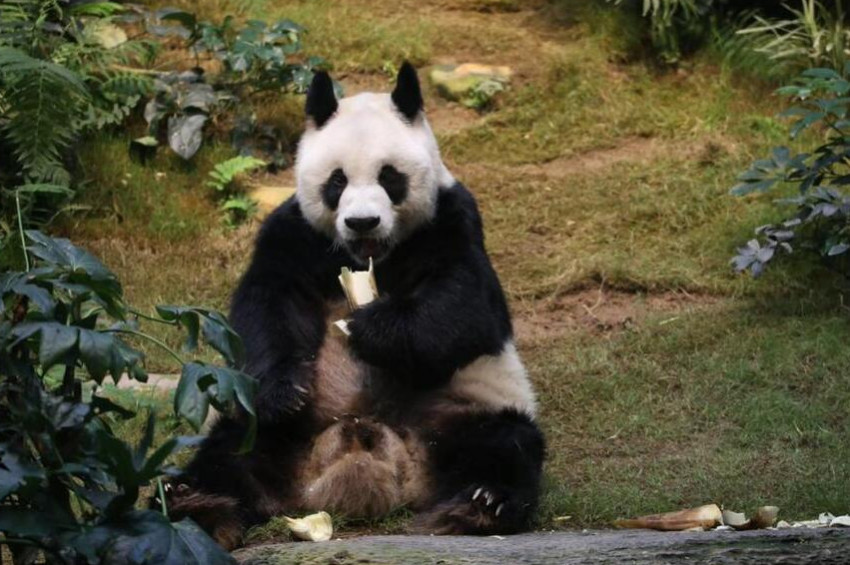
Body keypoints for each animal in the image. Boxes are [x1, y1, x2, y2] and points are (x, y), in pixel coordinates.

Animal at [162, 62, 545, 550]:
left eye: (389, 176)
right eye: (337, 181)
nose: (363, 221)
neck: (368, 255)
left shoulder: (451, 220)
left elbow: (468, 305)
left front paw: (369, 329)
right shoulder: (294, 232)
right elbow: (266, 305)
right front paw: (286, 391)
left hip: (458, 412)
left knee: (506, 443)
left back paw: (481, 504)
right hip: (275, 433)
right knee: (229, 449)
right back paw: (198, 503)